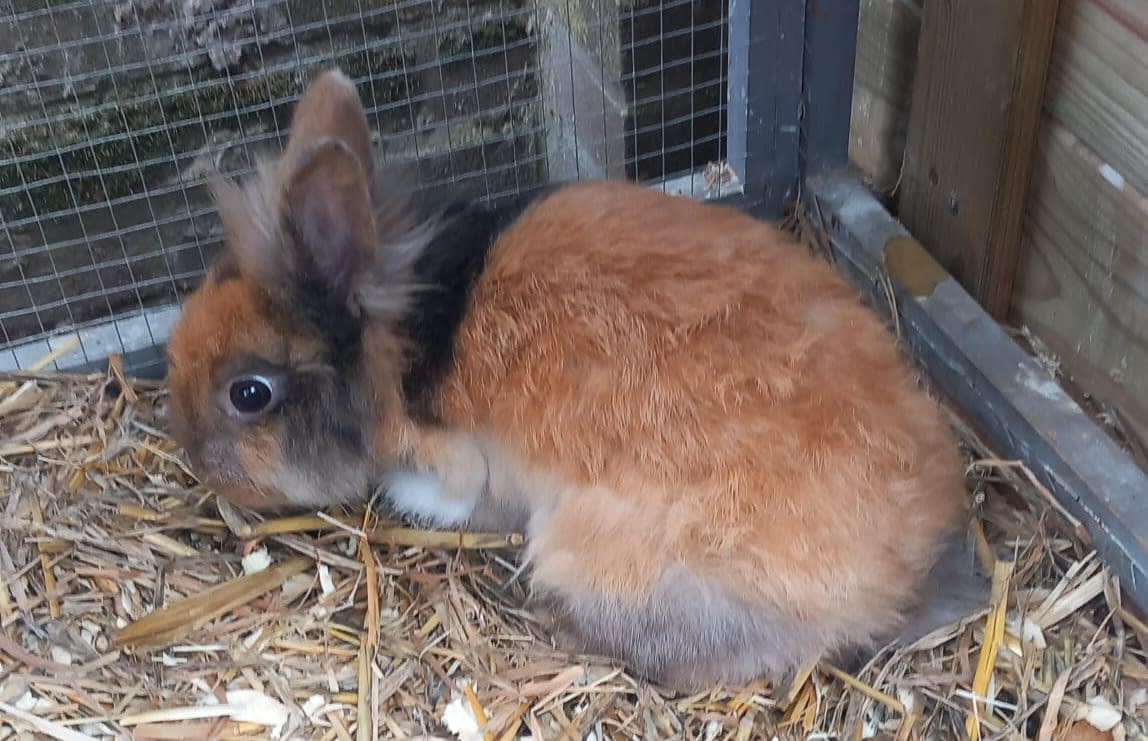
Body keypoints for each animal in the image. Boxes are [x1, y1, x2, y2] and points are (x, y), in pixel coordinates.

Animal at [166, 66, 991, 689]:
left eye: (248, 394)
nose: (196, 460)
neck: (395, 340)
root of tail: (904, 574)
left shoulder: (459, 462)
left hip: (590, 554)